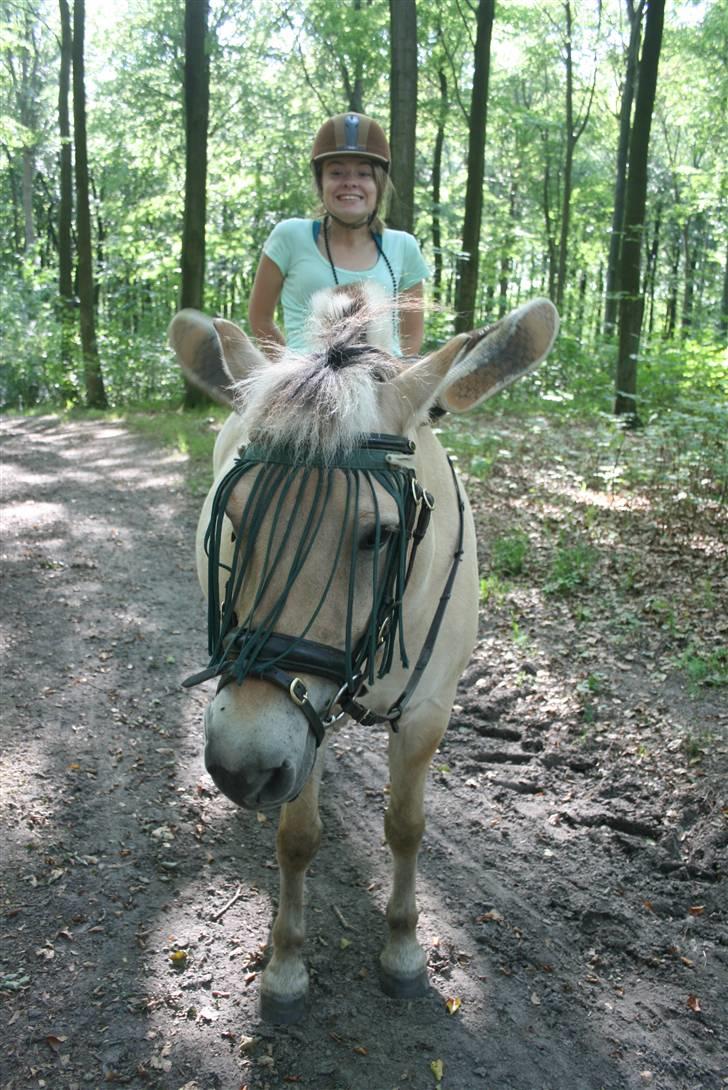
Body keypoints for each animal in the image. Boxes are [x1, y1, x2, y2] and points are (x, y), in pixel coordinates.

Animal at [168, 287, 557, 1020]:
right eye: (234, 517)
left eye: (379, 535)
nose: (241, 765)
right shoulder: (300, 723)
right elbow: (297, 838)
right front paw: (286, 964)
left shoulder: (428, 712)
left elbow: (406, 826)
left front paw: (402, 950)